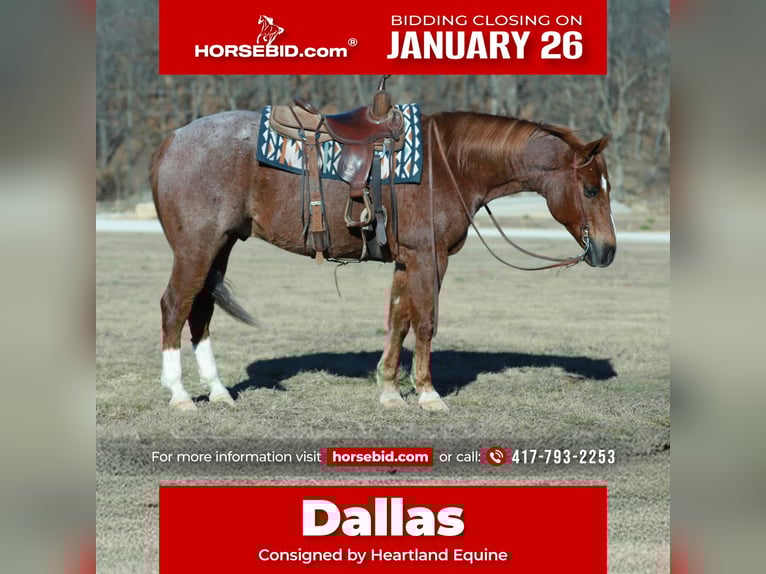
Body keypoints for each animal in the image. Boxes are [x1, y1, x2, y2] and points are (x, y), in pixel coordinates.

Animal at [150, 108, 616, 412]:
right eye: (591, 189)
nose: (607, 251)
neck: (450, 163)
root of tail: (173, 139)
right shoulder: (430, 258)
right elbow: (425, 322)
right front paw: (428, 394)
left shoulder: (407, 261)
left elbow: (398, 320)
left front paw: (390, 389)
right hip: (196, 248)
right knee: (174, 307)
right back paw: (180, 395)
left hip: (220, 247)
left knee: (200, 312)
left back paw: (218, 391)